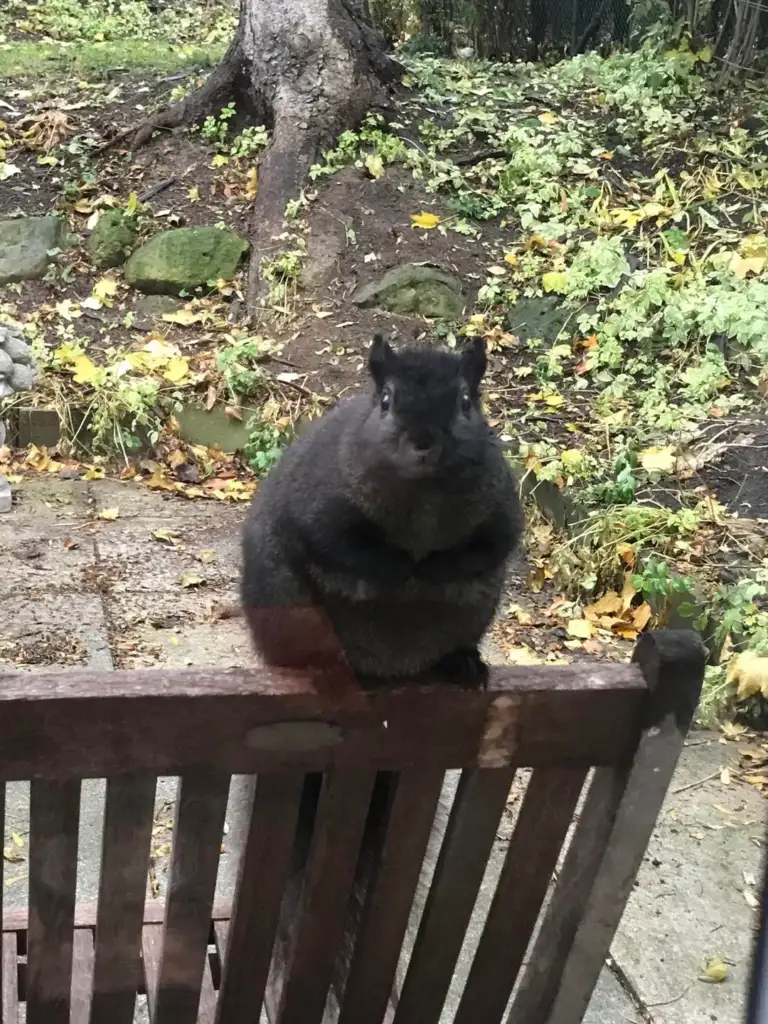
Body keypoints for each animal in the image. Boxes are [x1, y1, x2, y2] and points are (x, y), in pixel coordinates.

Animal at [241, 333, 524, 679]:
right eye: (386, 400)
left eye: (466, 402)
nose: (423, 441)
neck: (424, 492)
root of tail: (394, 667)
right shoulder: (321, 500)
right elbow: (336, 545)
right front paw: (399, 567)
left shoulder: (499, 505)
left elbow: (491, 546)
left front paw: (433, 569)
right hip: (286, 603)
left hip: (477, 611)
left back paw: (461, 662)